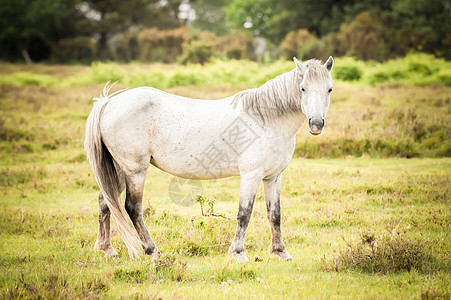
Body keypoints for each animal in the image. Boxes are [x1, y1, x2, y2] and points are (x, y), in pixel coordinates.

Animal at [85, 56, 334, 262]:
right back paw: (152, 251)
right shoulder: (251, 175)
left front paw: (280, 253)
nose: (316, 124)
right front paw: (238, 254)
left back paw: (107, 250)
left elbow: (275, 214)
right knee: (132, 208)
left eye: (329, 89)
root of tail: (108, 103)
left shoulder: (272, 177)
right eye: (303, 88)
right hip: (135, 170)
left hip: (118, 169)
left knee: (106, 201)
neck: (265, 119)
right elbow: (244, 213)